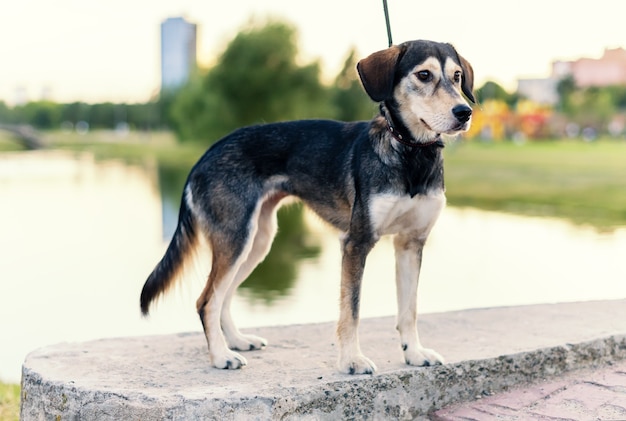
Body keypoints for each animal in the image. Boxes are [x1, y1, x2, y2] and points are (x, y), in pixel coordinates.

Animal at [140, 39, 472, 374]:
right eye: (424, 75)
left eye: (457, 76)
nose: (465, 112)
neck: (411, 154)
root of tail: (204, 155)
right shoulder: (357, 242)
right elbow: (351, 310)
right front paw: (351, 360)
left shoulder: (411, 243)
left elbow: (409, 309)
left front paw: (414, 353)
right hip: (235, 239)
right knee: (207, 300)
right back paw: (221, 356)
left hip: (255, 242)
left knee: (224, 296)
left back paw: (236, 341)